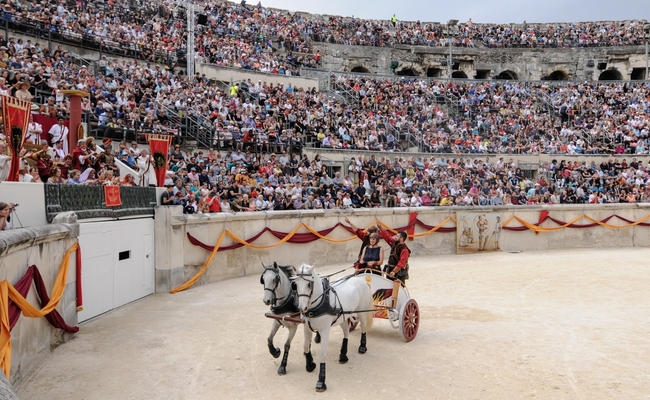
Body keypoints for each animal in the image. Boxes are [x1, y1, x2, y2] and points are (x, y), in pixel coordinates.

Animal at [292, 264, 372, 392]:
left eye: (309, 284)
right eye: (295, 284)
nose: (301, 308)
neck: (320, 302)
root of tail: (360, 280)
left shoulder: (325, 330)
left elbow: (322, 354)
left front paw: (321, 381)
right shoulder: (307, 327)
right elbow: (305, 347)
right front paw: (310, 365)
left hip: (362, 312)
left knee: (363, 327)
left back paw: (362, 347)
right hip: (343, 317)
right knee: (346, 332)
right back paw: (343, 356)